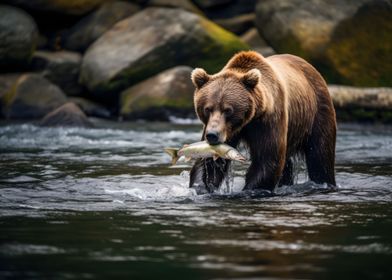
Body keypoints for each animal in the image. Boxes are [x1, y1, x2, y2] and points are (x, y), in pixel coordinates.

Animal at [188, 50, 336, 194]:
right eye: (208, 109)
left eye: (228, 110)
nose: (212, 135)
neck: (247, 121)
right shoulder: (224, 131)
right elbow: (209, 162)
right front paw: (202, 187)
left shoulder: (268, 120)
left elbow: (267, 160)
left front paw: (250, 190)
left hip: (317, 113)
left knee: (320, 156)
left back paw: (324, 183)